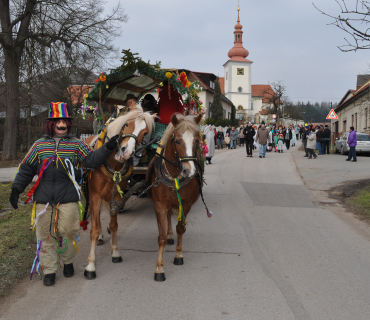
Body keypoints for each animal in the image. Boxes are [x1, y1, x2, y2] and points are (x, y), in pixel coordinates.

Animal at [82, 106, 155, 278]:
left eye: (145, 132)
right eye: (126, 124)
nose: (126, 151)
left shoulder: (116, 195)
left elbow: (115, 224)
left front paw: (115, 252)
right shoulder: (95, 196)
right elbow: (94, 229)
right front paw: (91, 265)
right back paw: (101, 235)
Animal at [147, 113, 204, 282]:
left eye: (196, 141)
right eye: (177, 141)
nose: (189, 171)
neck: (174, 177)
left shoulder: (186, 204)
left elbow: (181, 228)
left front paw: (179, 255)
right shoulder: (160, 205)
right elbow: (162, 237)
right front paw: (159, 269)